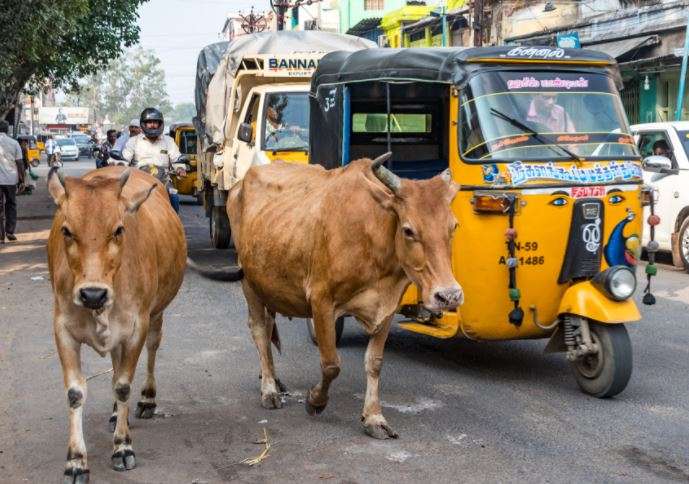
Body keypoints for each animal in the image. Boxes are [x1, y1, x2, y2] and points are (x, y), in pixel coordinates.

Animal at [46, 164, 187, 482]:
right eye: (66, 230)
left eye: (119, 229)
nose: (92, 294)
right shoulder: (62, 329)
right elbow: (75, 392)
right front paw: (76, 461)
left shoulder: (136, 329)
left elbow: (123, 385)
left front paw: (122, 447)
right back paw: (114, 414)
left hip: (155, 317)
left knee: (151, 351)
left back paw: (146, 399)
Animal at [227, 154, 462, 438]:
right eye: (408, 230)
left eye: (453, 226)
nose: (449, 295)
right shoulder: (321, 301)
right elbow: (331, 364)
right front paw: (315, 401)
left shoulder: (387, 307)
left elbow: (374, 362)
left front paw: (374, 417)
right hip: (248, 281)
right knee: (260, 330)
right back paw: (269, 390)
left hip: (268, 284)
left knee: (269, 325)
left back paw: (272, 378)